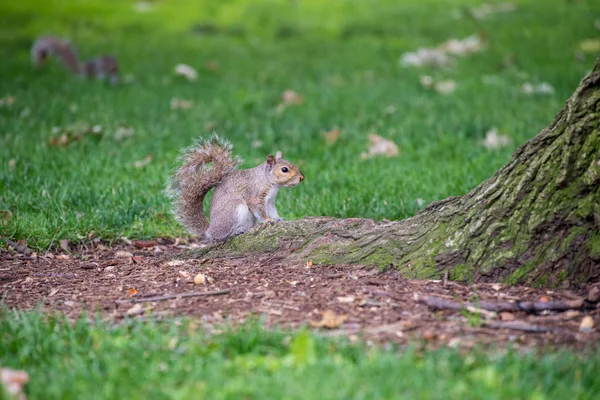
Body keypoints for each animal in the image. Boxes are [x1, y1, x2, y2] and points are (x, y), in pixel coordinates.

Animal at [165, 135, 302, 244]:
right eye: (284, 169)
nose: (301, 178)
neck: (268, 181)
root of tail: (208, 231)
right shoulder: (255, 196)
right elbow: (259, 211)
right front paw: (268, 220)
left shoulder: (269, 201)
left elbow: (272, 211)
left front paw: (277, 218)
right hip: (234, 209)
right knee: (220, 237)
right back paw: (235, 232)